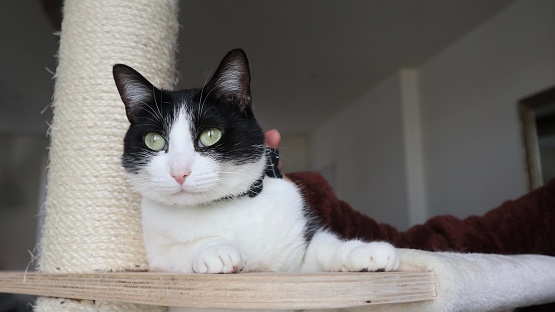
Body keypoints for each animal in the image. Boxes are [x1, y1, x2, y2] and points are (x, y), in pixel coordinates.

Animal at [113, 48, 400, 276]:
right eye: (154, 140)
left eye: (210, 135)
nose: (179, 173)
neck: (223, 207)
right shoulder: (156, 254)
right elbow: (175, 253)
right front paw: (214, 249)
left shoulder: (299, 250)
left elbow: (323, 246)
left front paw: (365, 250)